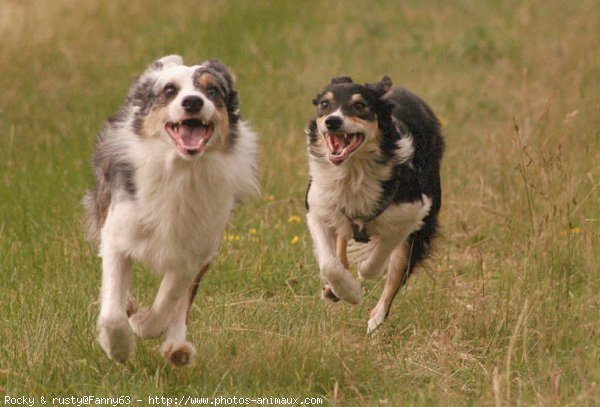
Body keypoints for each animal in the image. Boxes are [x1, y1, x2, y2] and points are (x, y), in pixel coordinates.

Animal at [83, 55, 256, 366]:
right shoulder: (117, 233)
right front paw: (119, 346)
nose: (193, 102)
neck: (180, 169)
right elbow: (113, 308)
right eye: (169, 91)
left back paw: (177, 348)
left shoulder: (196, 251)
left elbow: (170, 298)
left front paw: (143, 324)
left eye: (212, 91)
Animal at [308, 76, 442, 334]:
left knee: (395, 274)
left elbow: (378, 258)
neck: (353, 171)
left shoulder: (414, 213)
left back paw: (375, 320)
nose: (332, 121)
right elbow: (330, 264)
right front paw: (348, 291)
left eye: (360, 106)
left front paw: (361, 275)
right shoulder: (318, 208)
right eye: (324, 104)